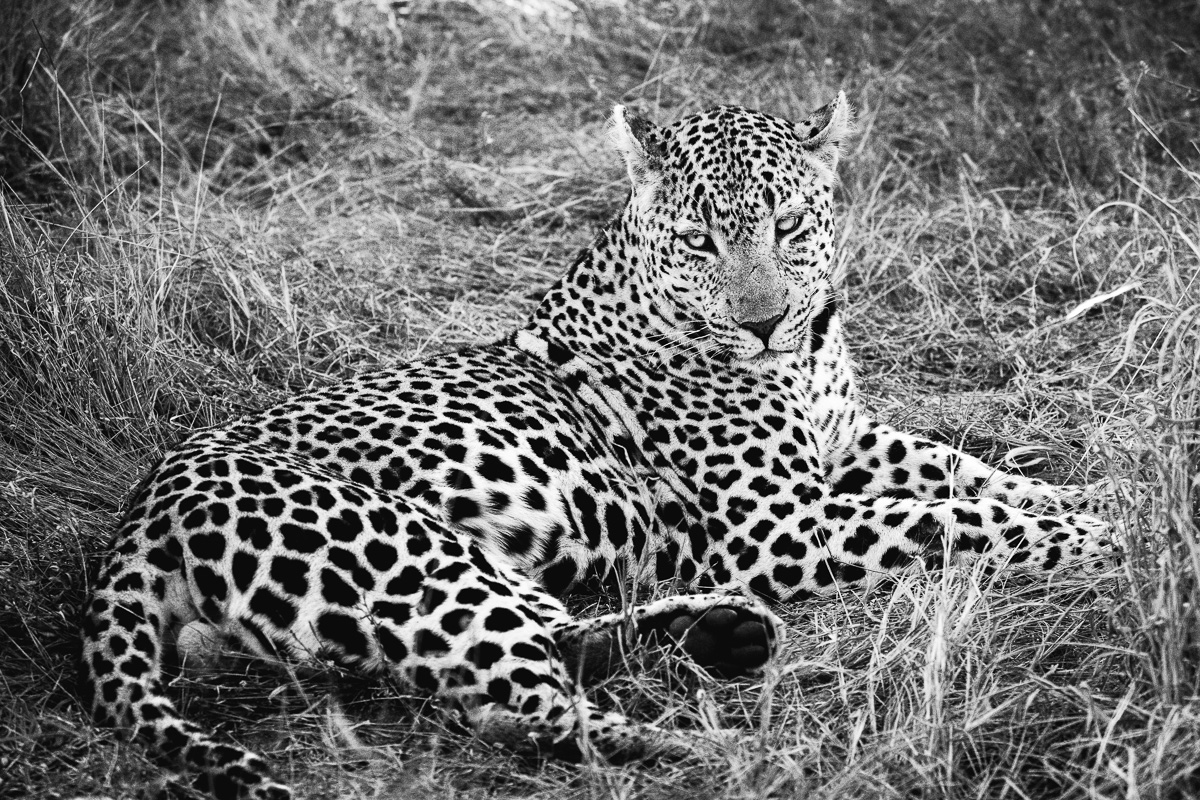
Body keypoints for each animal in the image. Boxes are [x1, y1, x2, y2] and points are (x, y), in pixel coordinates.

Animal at [80, 93, 1121, 800]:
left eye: (788, 225)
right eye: (700, 241)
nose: (763, 321)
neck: (808, 356)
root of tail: (144, 510)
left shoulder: (850, 445)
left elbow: (966, 472)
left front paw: (1095, 496)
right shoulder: (778, 529)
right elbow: (953, 518)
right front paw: (1111, 539)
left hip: (465, 571)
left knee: (529, 654)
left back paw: (721, 634)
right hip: (406, 555)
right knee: (510, 702)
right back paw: (732, 751)